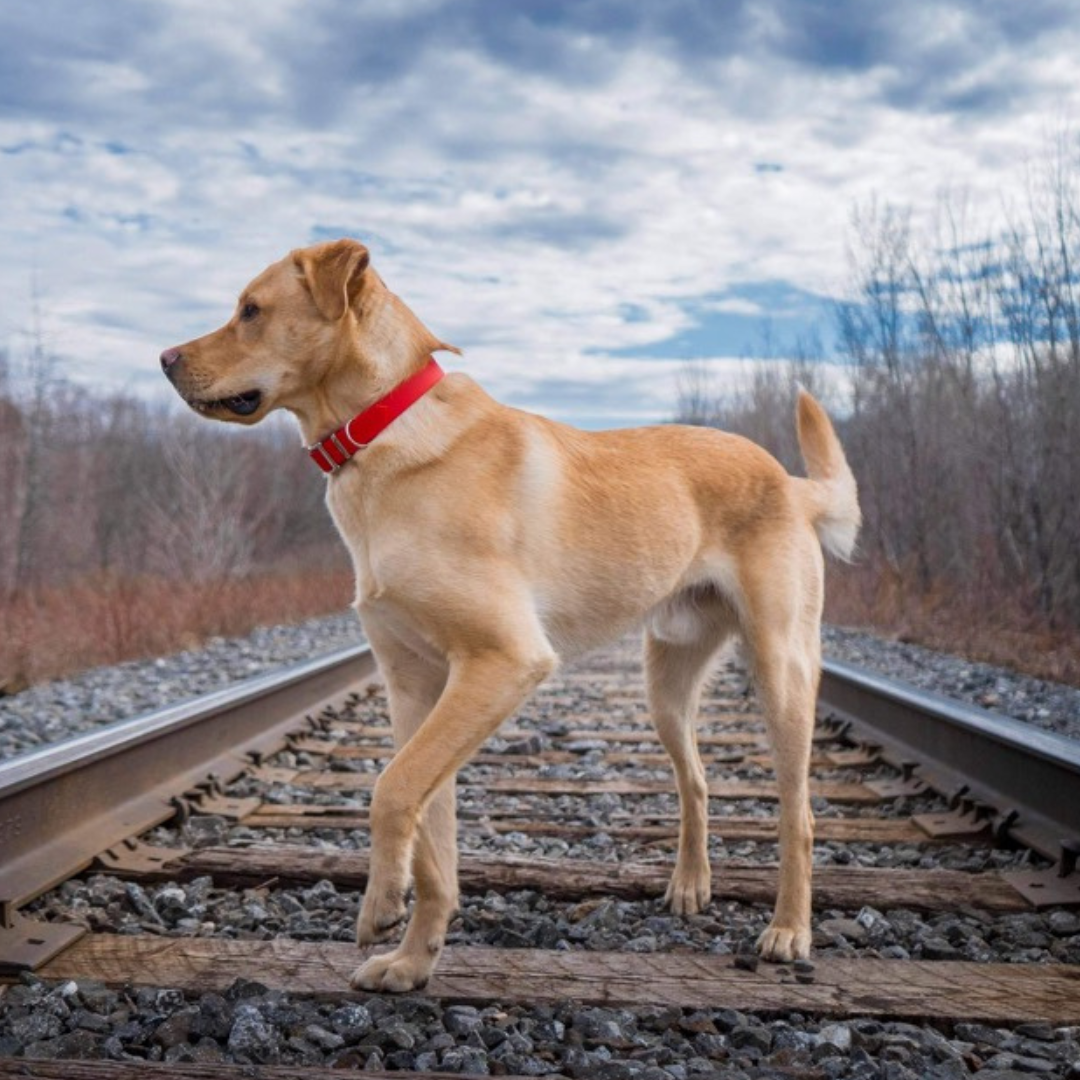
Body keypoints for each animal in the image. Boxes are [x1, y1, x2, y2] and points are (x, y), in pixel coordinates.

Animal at [162, 240, 859, 989]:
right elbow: (431, 836)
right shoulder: (419, 690)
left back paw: (789, 929)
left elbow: (390, 789)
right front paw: (412, 961)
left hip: (782, 670)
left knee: (799, 816)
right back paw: (690, 887)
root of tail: (788, 482)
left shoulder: (504, 661)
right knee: (695, 781)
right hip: (666, 686)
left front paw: (380, 904)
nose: (164, 359)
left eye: (251, 311)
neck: (380, 431)